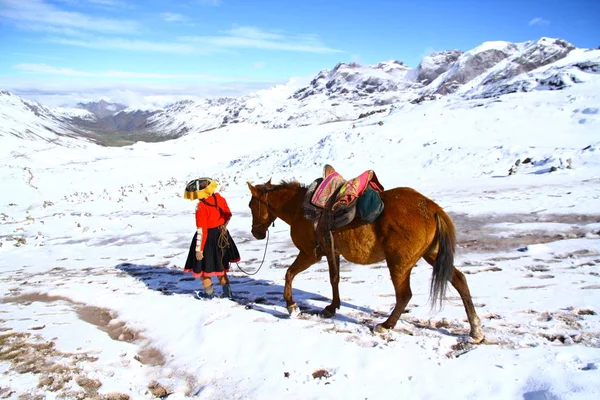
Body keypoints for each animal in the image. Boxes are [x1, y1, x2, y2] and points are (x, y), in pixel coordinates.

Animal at [246, 180, 486, 342]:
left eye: (250, 206)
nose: (256, 233)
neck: (299, 209)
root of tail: (432, 208)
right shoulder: (332, 252)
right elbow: (334, 279)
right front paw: (331, 308)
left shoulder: (310, 254)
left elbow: (289, 273)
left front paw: (291, 306)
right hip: (433, 255)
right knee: (459, 281)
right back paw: (475, 330)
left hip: (399, 264)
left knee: (404, 295)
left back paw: (386, 325)